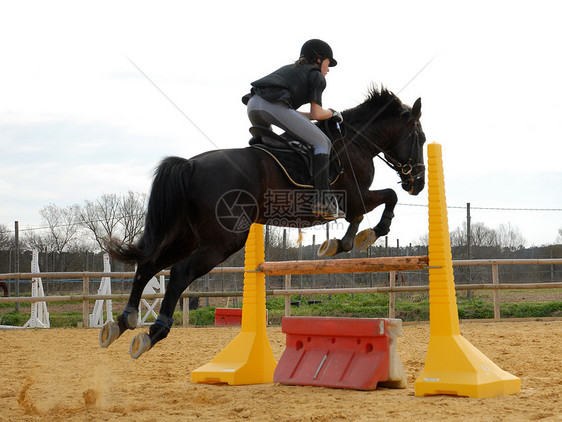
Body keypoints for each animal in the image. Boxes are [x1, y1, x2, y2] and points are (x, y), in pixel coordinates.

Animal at [99, 87, 424, 358]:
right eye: (419, 138)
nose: (418, 183)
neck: (356, 142)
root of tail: (189, 165)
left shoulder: (353, 201)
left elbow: (368, 211)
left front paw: (338, 244)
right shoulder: (356, 197)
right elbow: (388, 198)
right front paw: (370, 234)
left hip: (186, 236)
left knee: (149, 264)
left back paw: (123, 321)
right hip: (224, 239)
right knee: (180, 272)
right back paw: (154, 332)